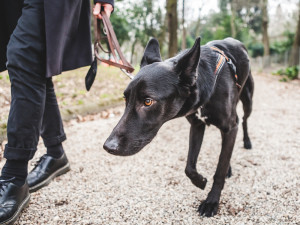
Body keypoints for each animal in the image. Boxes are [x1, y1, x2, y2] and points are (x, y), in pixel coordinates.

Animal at [103, 37, 253, 216]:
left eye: (148, 101)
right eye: (126, 99)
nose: (108, 147)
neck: (205, 84)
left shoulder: (230, 128)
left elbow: (219, 170)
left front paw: (211, 201)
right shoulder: (197, 126)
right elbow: (189, 166)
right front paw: (200, 181)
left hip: (247, 101)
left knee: (243, 120)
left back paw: (247, 142)